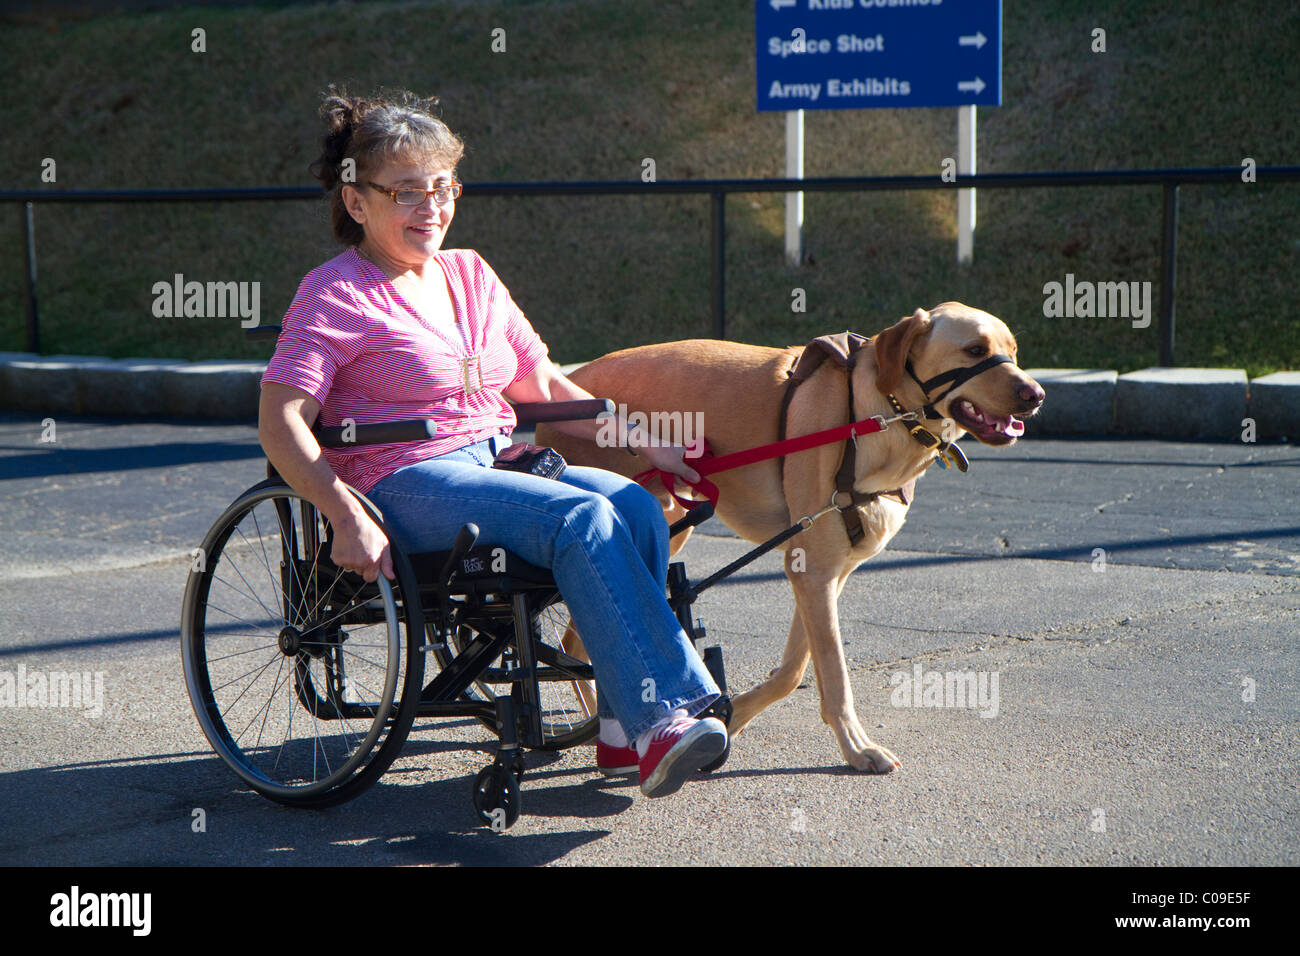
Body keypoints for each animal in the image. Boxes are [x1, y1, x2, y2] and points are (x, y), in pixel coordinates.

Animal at [538, 303, 1045, 775]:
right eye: (975, 350)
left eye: (1014, 352)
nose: (1035, 394)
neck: (875, 417)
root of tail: (566, 381)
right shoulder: (813, 571)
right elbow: (835, 675)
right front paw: (857, 748)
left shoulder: (823, 575)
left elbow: (795, 670)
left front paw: (736, 714)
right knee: (577, 641)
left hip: (664, 521)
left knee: (577, 642)